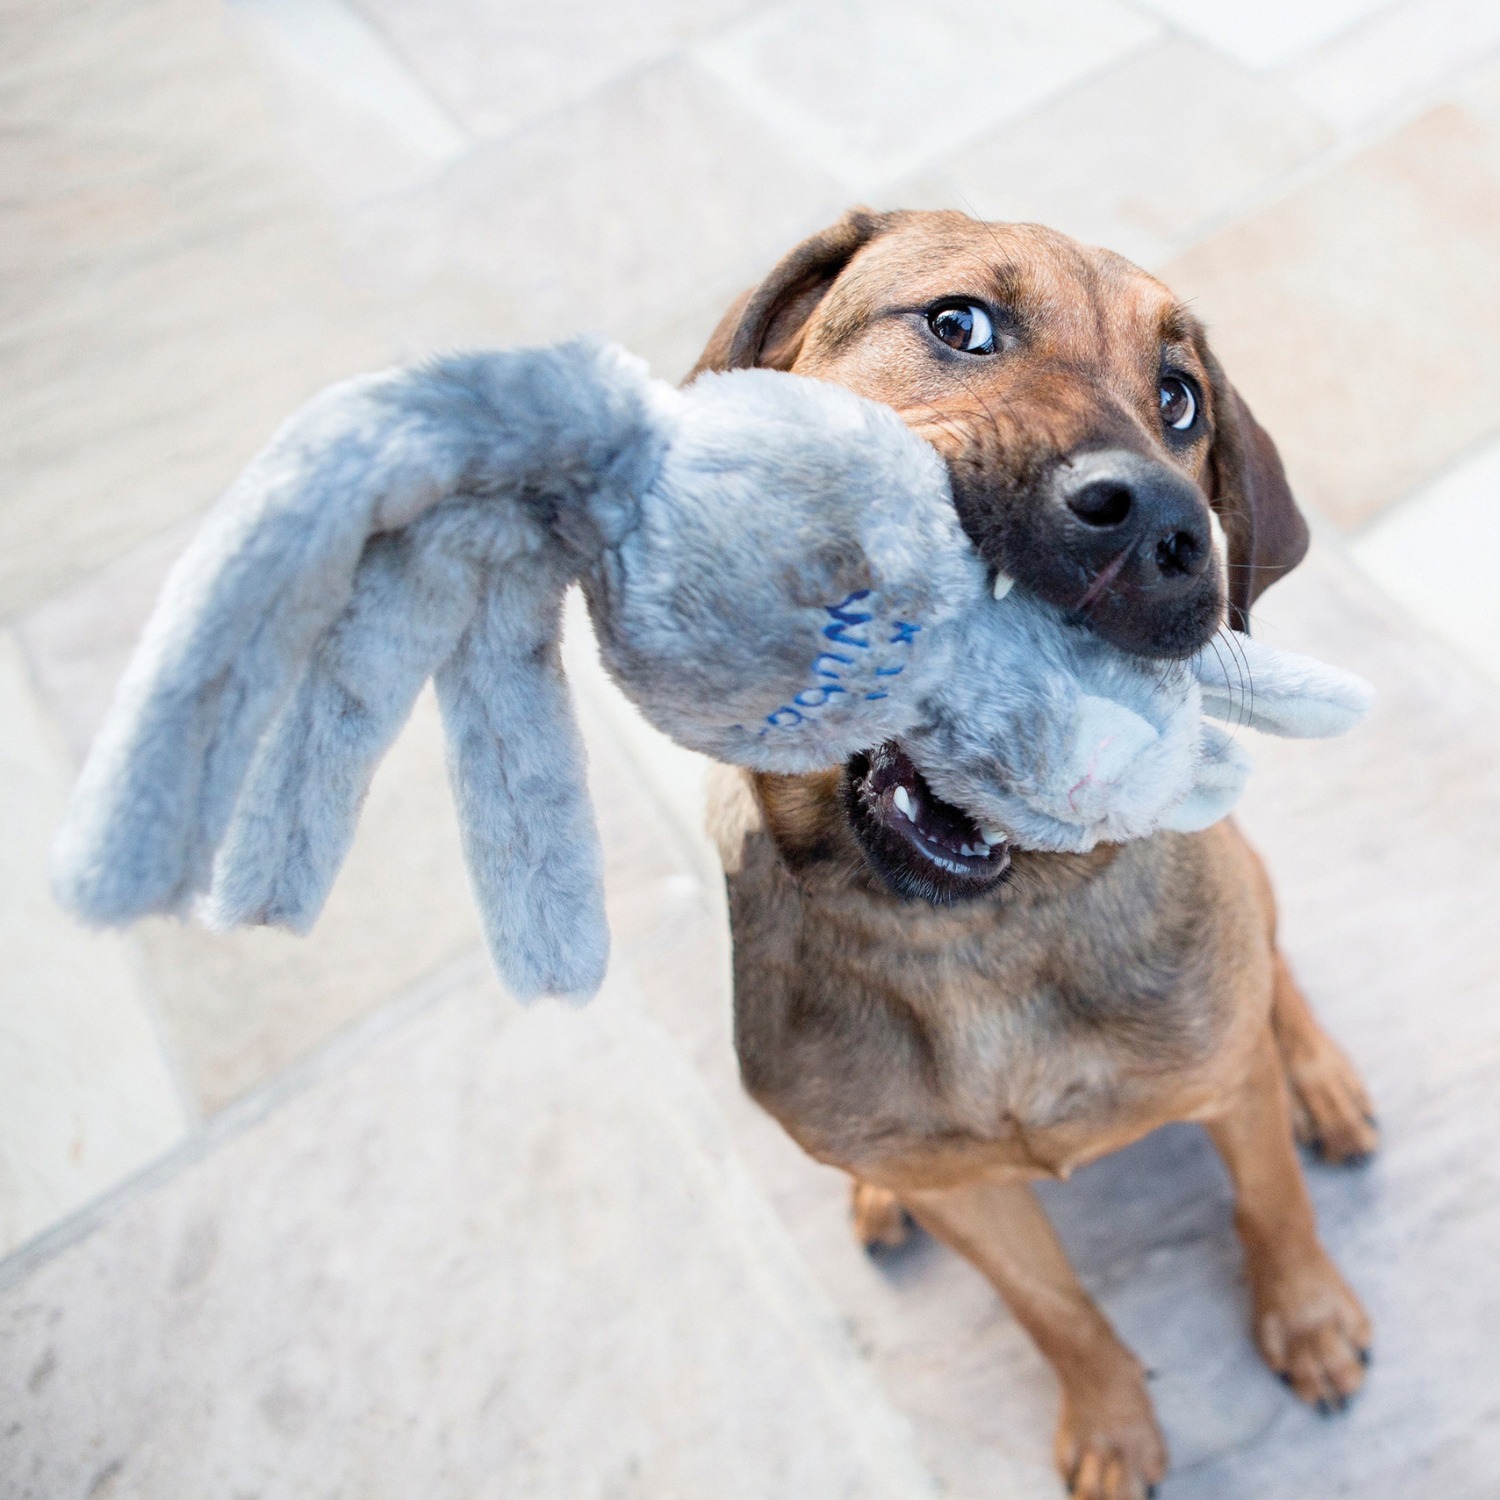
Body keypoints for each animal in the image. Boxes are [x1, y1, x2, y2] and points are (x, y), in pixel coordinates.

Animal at [690, 209, 1377, 1500]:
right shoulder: (980, 1204)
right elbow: (1055, 1313)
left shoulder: (1223, 1084)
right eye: (961, 325)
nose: (1158, 524)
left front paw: (1308, 1318)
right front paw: (1112, 1426)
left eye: (1180, 400)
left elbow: (1272, 1204)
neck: (978, 932)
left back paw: (1322, 1078)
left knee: (1277, 975)